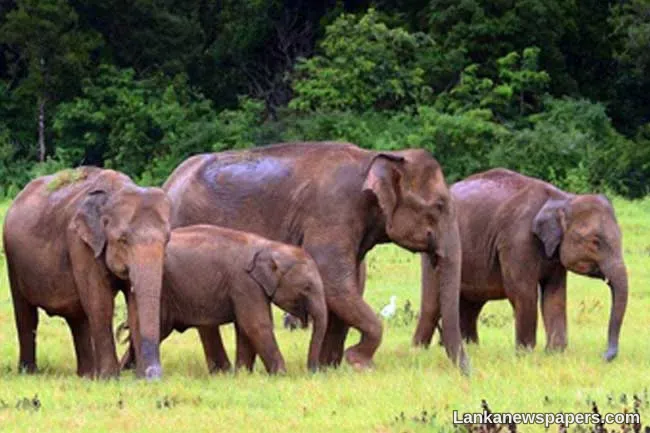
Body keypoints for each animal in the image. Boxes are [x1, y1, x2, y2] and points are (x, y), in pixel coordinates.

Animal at [3, 167, 171, 379]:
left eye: (167, 239)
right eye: (122, 239)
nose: (153, 375)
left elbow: (133, 305)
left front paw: (136, 378)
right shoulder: (80, 243)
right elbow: (100, 302)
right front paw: (110, 379)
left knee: (78, 317)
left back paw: (86, 376)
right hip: (13, 260)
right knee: (26, 314)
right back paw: (29, 373)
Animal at [120, 224, 327, 374]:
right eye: (307, 287)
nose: (313, 371)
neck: (269, 246)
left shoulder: (249, 287)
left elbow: (244, 328)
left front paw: (243, 374)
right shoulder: (244, 283)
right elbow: (256, 325)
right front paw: (281, 375)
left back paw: (127, 372)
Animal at [162, 142, 468, 372]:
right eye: (439, 206)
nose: (467, 371)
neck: (375, 157)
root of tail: (168, 183)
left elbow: (350, 285)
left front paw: (331, 368)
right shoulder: (332, 211)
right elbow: (335, 284)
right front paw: (358, 363)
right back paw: (223, 372)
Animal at [413, 168, 628, 361]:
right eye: (595, 242)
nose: (604, 355)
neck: (562, 198)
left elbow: (555, 295)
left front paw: (554, 354)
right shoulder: (517, 240)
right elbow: (523, 292)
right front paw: (525, 356)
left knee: (471, 305)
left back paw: (471, 348)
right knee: (432, 303)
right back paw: (418, 351)